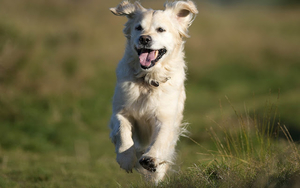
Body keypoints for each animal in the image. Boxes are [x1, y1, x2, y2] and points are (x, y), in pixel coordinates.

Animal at [109, 0, 198, 182]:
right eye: (138, 27)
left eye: (161, 29)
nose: (144, 38)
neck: (148, 80)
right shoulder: (120, 111)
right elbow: (122, 130)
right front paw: (126, 159)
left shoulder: (165, 117)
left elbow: (160, 138)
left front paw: (151, 160)